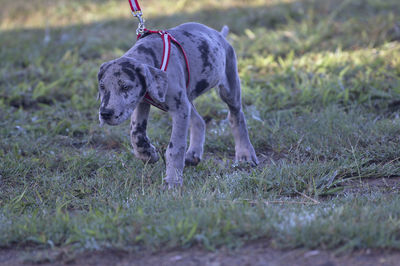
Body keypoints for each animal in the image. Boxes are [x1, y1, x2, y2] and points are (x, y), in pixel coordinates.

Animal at [98, 22, 258, 188]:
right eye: (102, 87)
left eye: (125, 87)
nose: (105, 113)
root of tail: (220, 35)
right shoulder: (142, 101)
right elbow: (136, 133)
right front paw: (147, 154)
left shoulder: (179, 108)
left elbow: (175, 147)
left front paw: (173, 180)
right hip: (188, 98)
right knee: (199, 121)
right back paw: (193, 154)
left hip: (229, 88)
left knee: (236, 117)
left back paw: (245, 154)